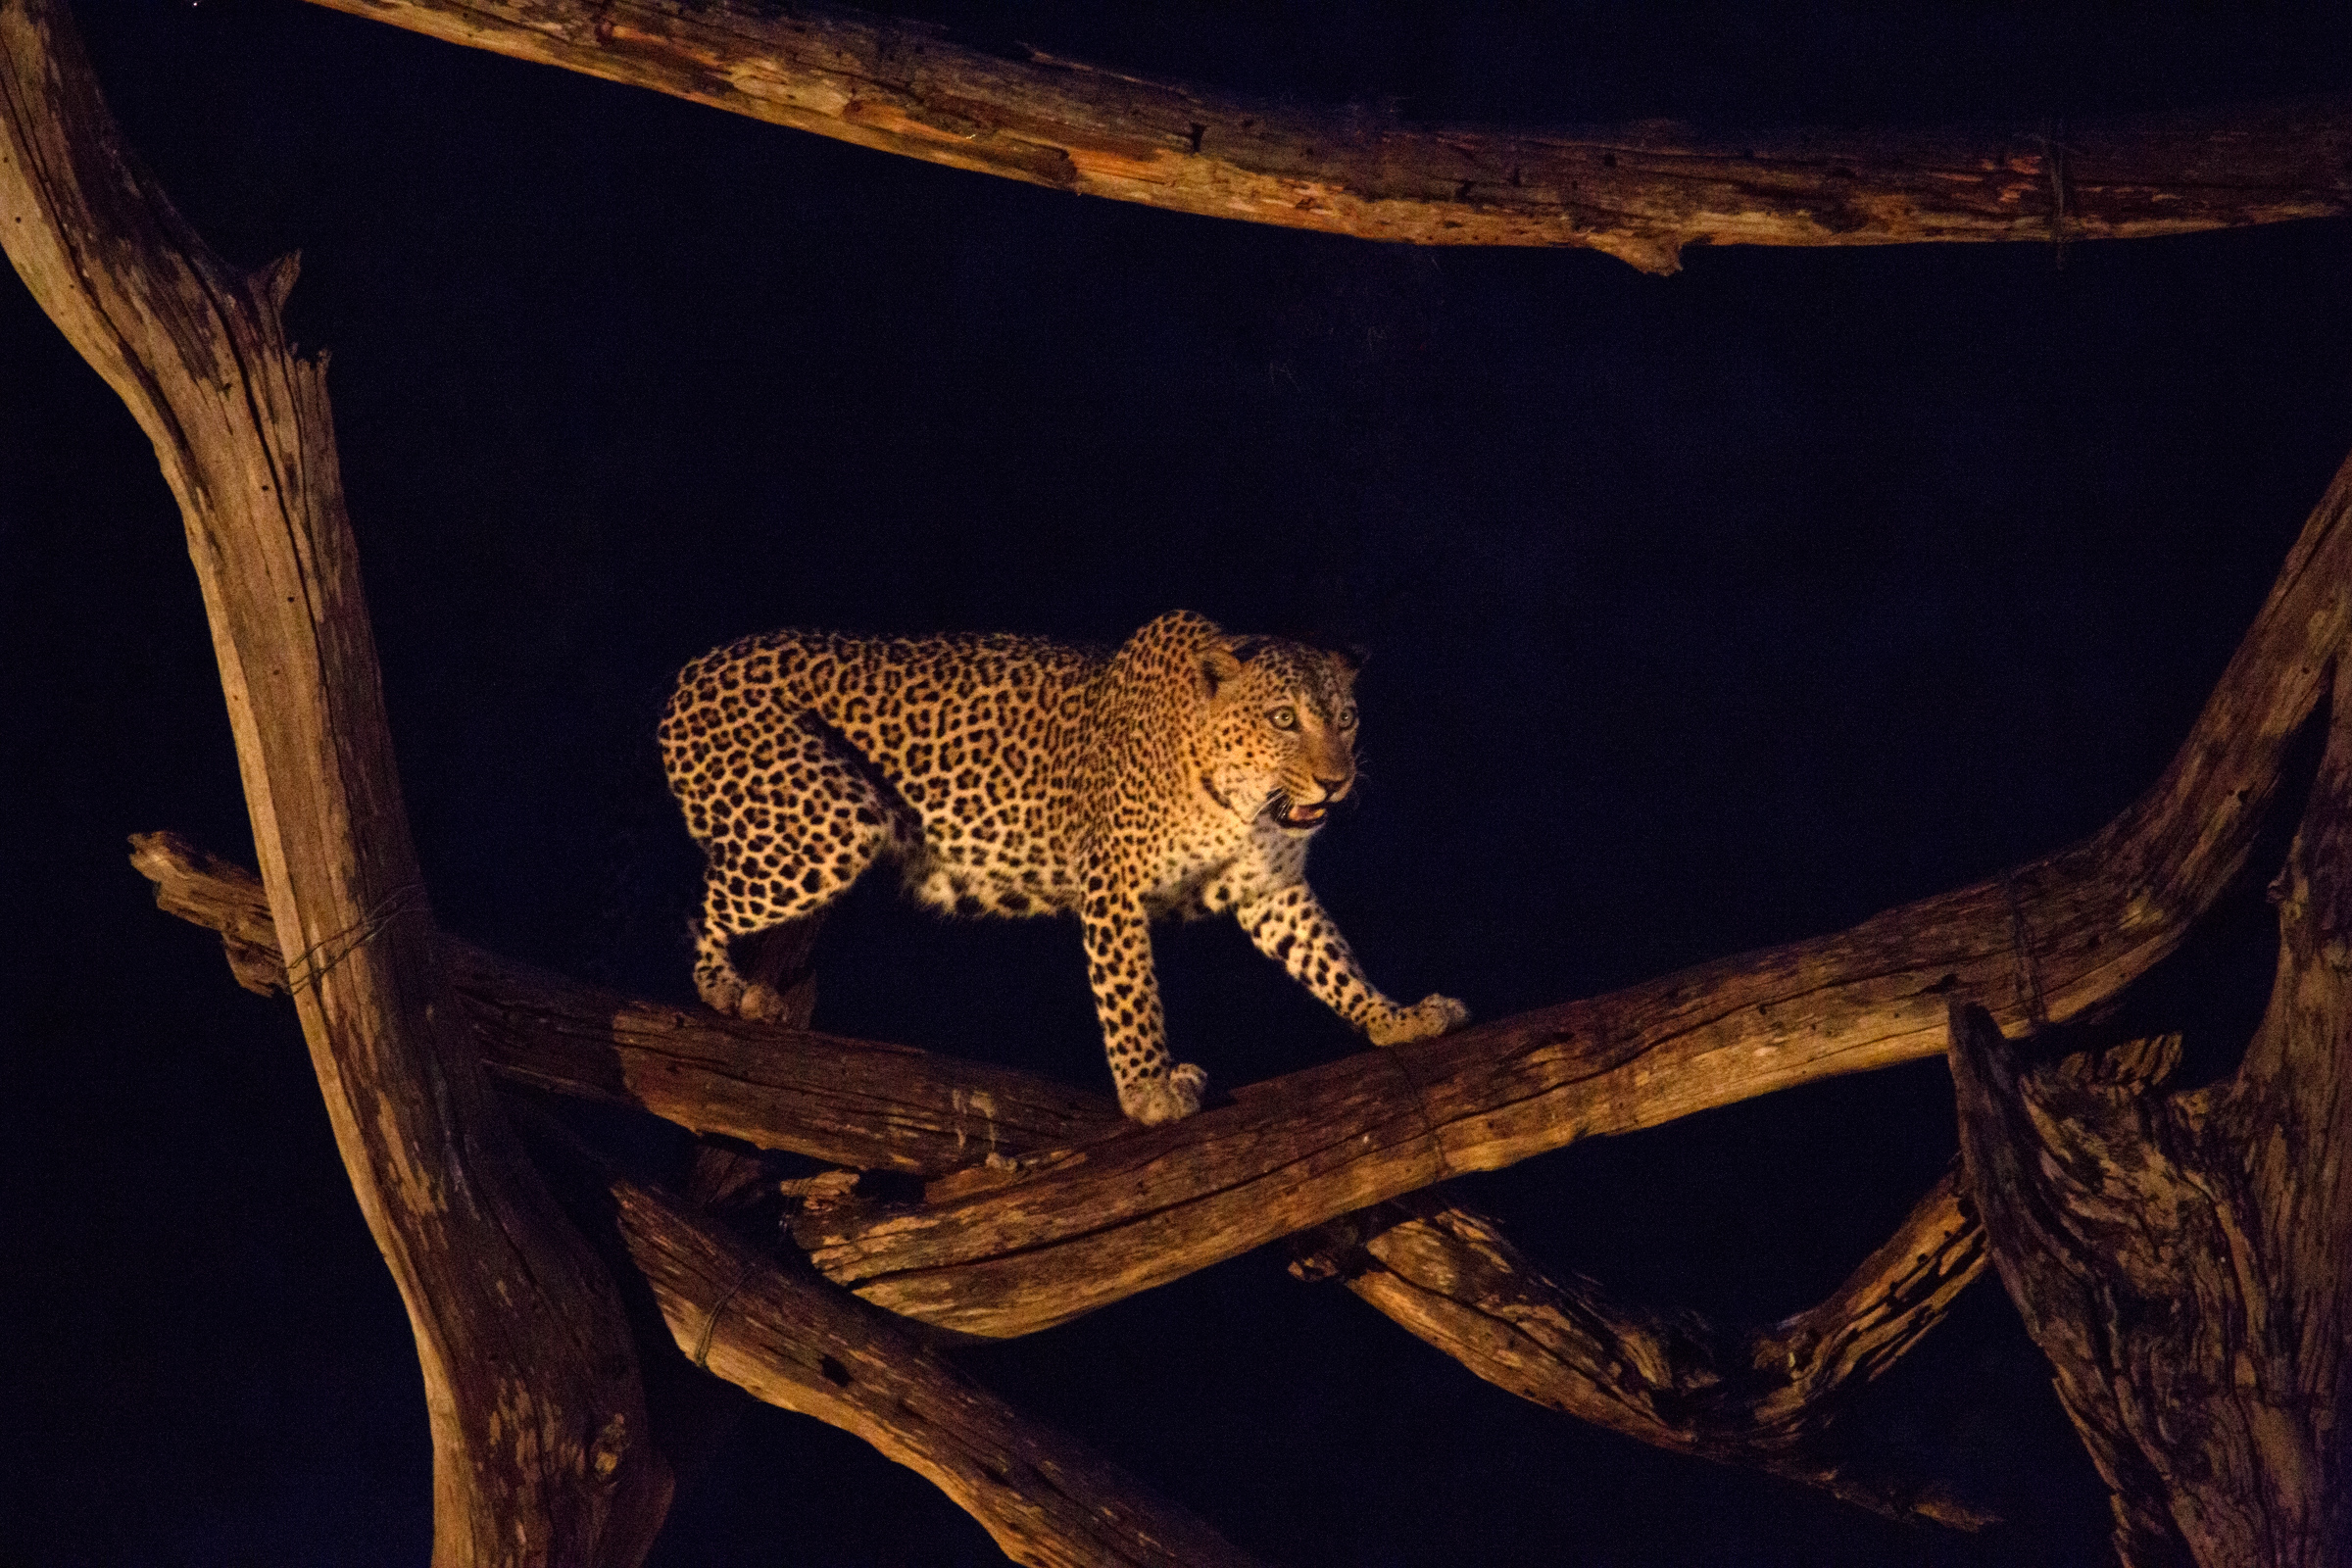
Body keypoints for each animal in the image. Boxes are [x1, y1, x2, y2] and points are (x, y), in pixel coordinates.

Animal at [657, 608, 1468, 1124]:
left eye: (1347, 719)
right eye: (1284, 719)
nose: (1336, 781)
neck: (1238, 799)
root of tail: (692, 670)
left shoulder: (1270, 887)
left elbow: (1331, 960)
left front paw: (1396, 1020)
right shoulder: (1114, 885)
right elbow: (1133, 998)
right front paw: (1149, 1094)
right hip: (830, 821)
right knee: (702, 900)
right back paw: (726, 987)